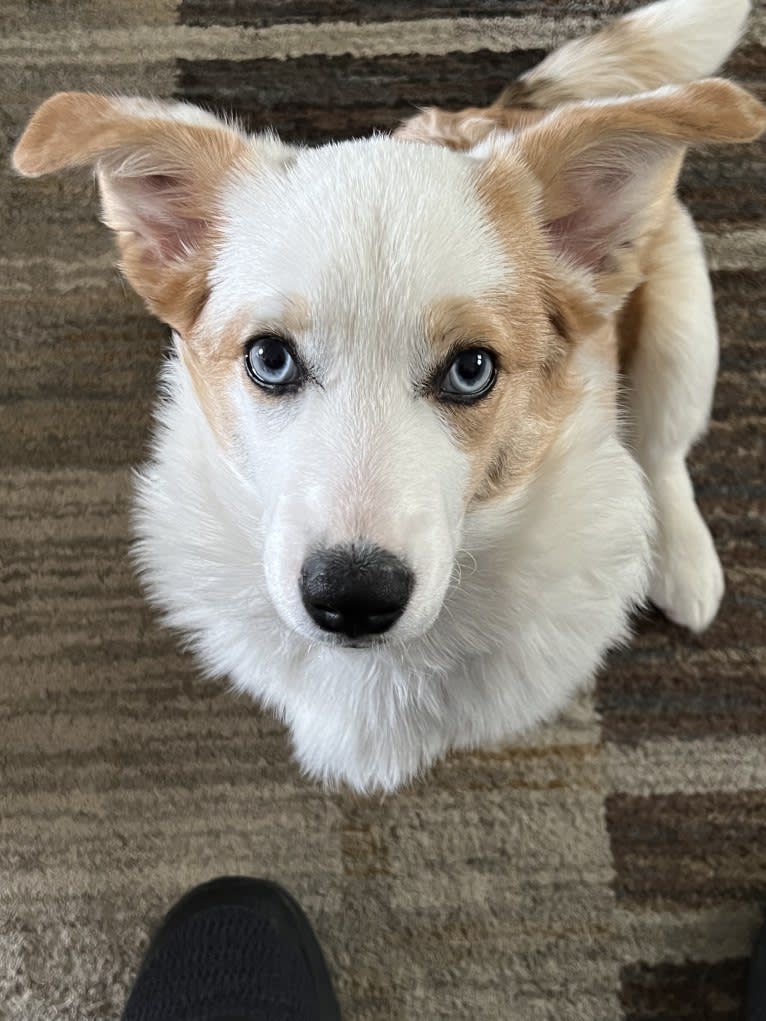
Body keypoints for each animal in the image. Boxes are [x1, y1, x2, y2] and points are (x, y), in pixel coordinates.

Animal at [13, 0, 766, 788]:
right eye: (270, 358)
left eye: (472, 369)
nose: (353, 597)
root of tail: (500, 112)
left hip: (684, 327)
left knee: (664, 448)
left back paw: (684, 559)